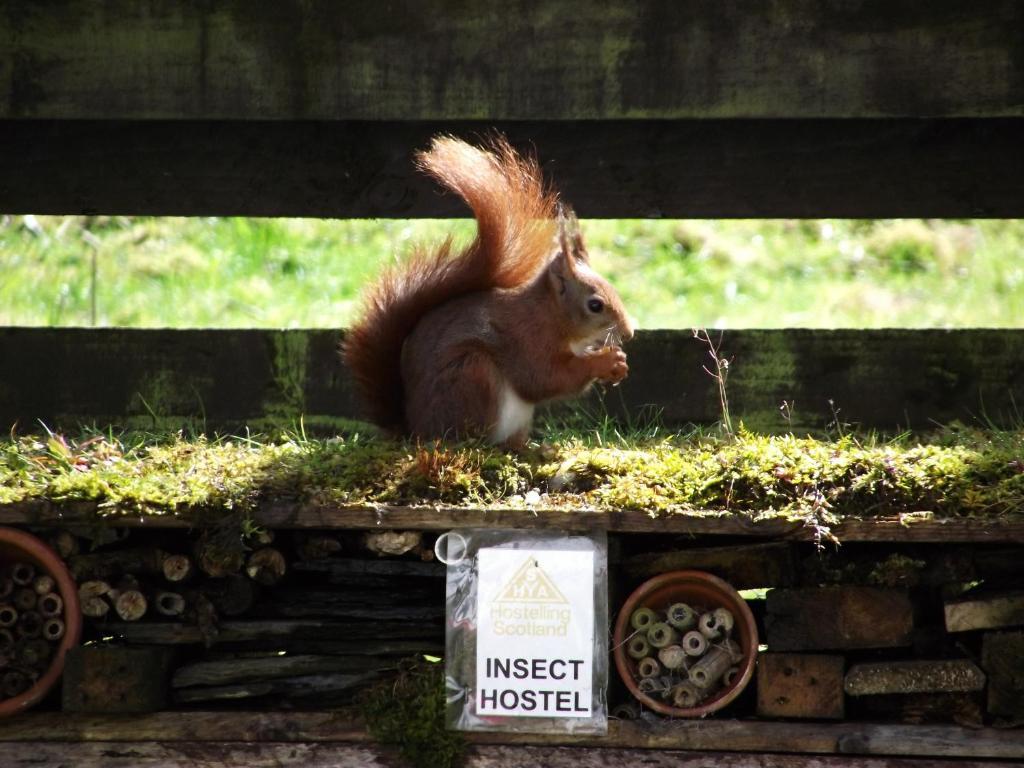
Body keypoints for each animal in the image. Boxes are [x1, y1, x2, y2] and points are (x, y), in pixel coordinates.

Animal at [346, 136, 630, 448]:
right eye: (595, 305)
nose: (629, 333)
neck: (551, 316)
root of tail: (415, 432)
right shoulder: (528, 339)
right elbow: (544, 378)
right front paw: (604, 362)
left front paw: (619, 364)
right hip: (472, 374)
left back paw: (527, 448)